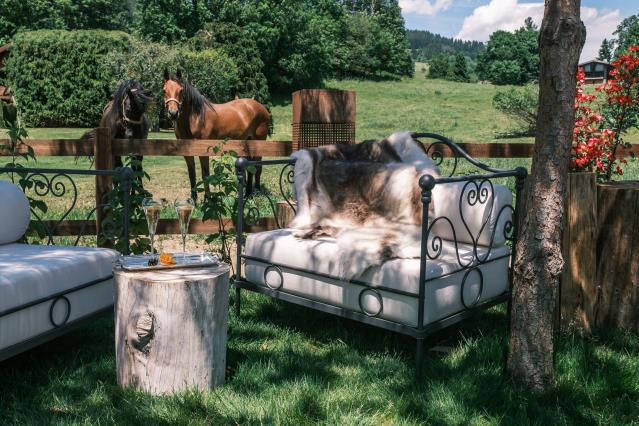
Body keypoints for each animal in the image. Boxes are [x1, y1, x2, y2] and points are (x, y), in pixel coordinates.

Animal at [162, 69, 270, 199]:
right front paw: (193, 199)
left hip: (259, 142)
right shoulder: (187, 153)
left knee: (257, 167)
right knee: (250, 167)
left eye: (181, 90)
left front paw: (208, 199)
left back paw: (256, 191)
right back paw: (247, 194)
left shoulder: (203, 152)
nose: (173, 113)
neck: (195, 118)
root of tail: (261, 107)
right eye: (164, 90)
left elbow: (205, 175)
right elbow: (191, 174)